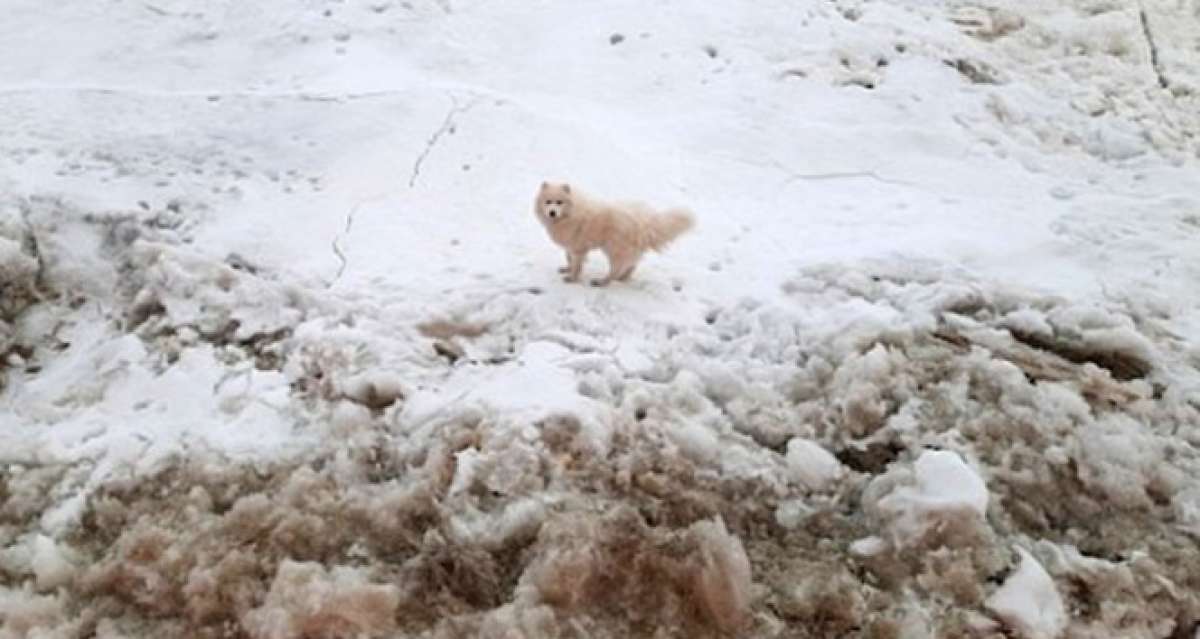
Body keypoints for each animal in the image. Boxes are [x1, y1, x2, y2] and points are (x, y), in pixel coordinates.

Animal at [532, 182, 696, 287]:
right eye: (548, 202)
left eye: (559, 202)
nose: (552, 212)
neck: (571, 213)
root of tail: (645, 222)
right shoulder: (572, 245)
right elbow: (569, 258)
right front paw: (567, 269)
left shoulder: (578, 247)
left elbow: (576, 264)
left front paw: (572, 278)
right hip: (626, 250)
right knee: (631, 265)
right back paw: (623, 278)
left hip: (614, 249)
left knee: (616, 269)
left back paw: (602, 282)